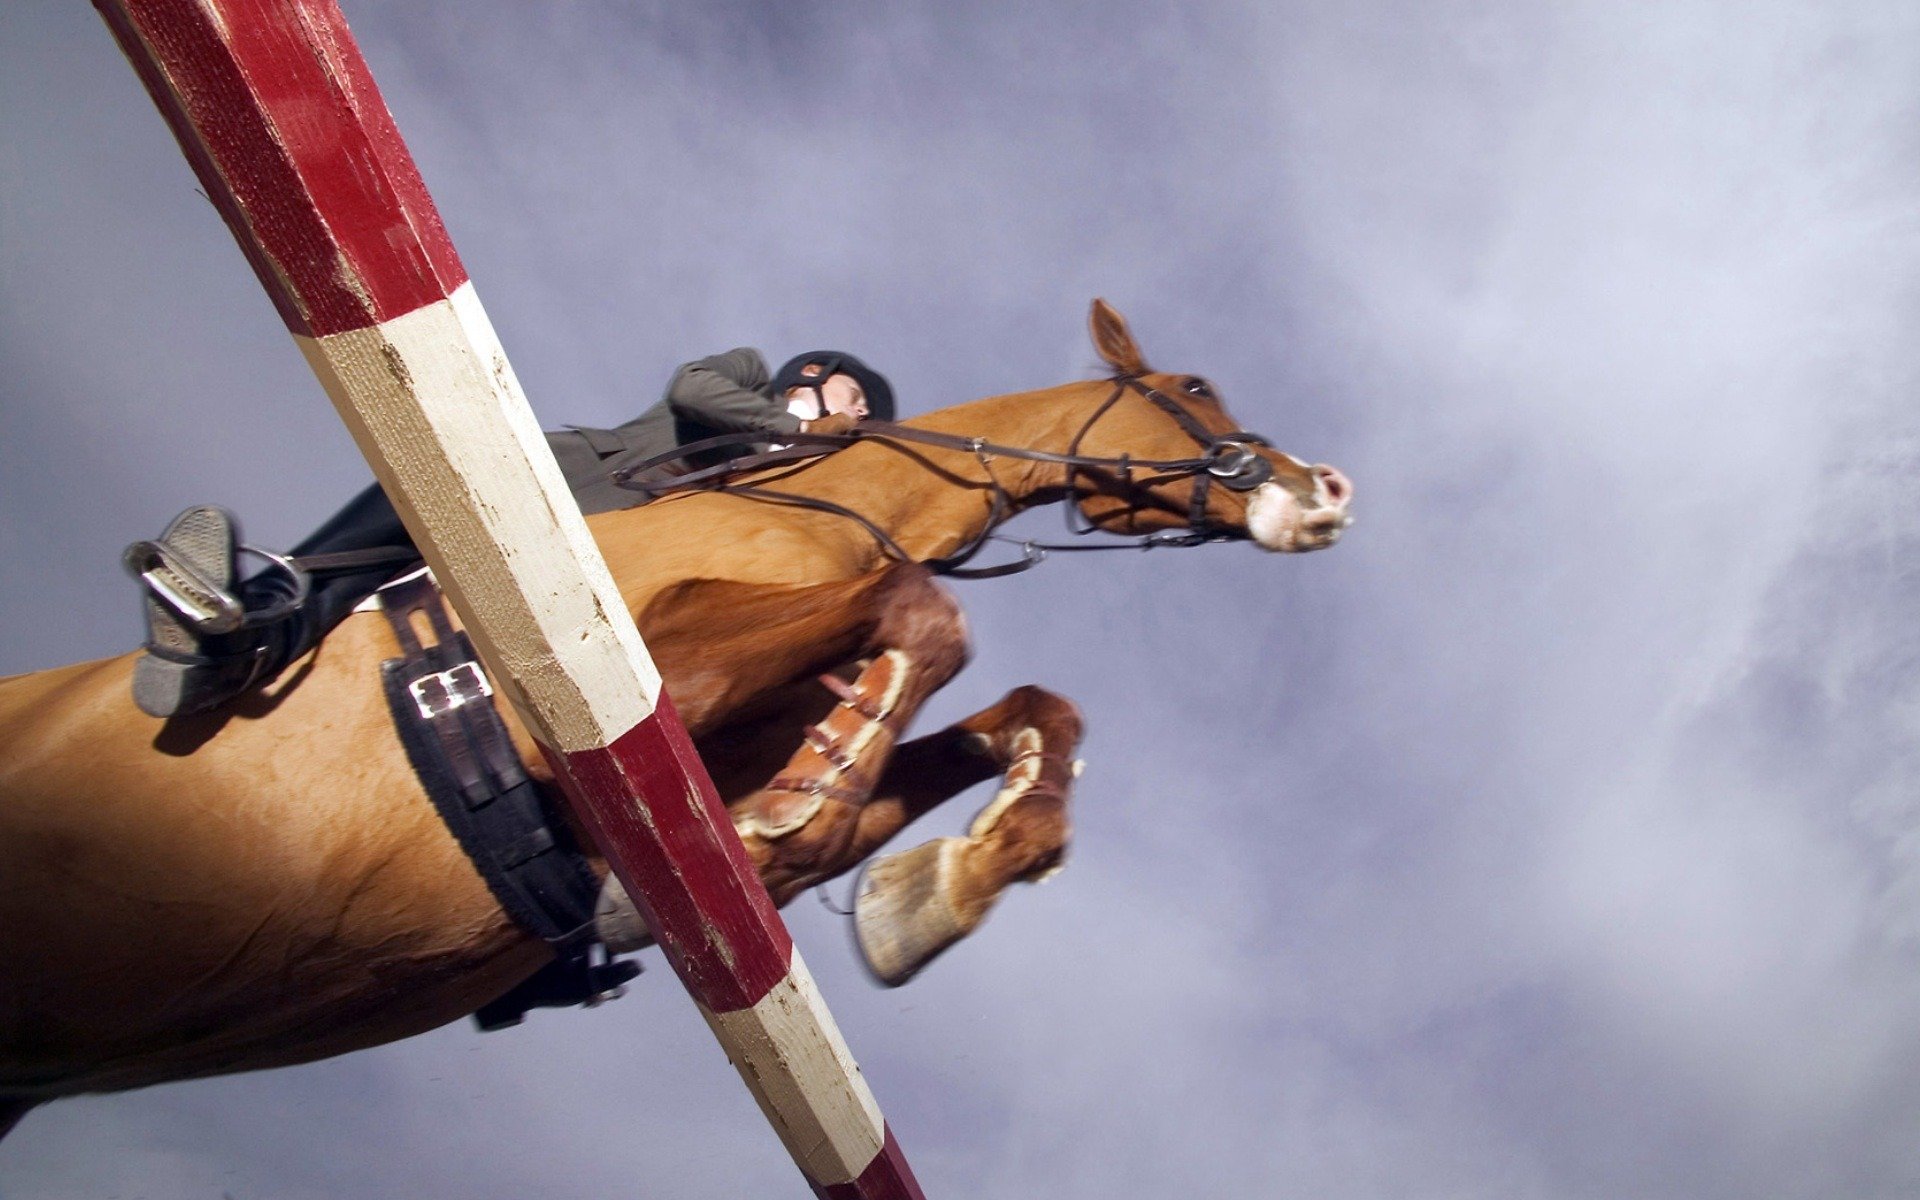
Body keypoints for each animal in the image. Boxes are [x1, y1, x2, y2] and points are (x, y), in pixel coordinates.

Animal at [0, 299, 1351, 1128]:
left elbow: (1017, 713)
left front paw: (931, 886)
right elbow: (921, 615)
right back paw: (207, 612)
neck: (832, 507)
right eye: (1193, 384)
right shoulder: (581, 698)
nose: (1326, 493)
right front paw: (814, 806)